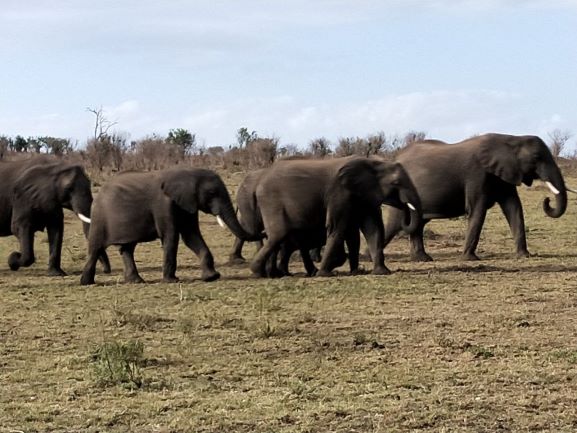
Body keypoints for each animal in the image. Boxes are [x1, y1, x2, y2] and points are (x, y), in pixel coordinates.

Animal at [79, 165, 260, 284]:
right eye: (211, 193)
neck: (188, 173)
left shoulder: (187, 203)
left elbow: (191, 236)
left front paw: (212, 277)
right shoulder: (163, 204)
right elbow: (171, 237)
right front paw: (172, 280)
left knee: (127, 248)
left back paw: (136, 281)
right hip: (99, 217)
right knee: (96, 248)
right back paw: (86, 282)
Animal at [250, 155, 420, 276]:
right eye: (396, 183)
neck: (374, 163)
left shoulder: (364, 196)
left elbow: (373, 229)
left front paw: (381, 272)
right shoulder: (339, 194)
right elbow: (337, 228)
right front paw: (324, 274)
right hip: (272, 202)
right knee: (278, 235)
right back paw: (259, 273)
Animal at [382, 132, 568, 260]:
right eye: (537, 157)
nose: (547, 200)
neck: (511, 139)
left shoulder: (503, 175)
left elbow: (513, 207)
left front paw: (524, 255)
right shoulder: (476, 175)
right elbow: (477, 209)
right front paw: (469, 259)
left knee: (417, 223)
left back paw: (423, 259)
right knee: (396, 222)